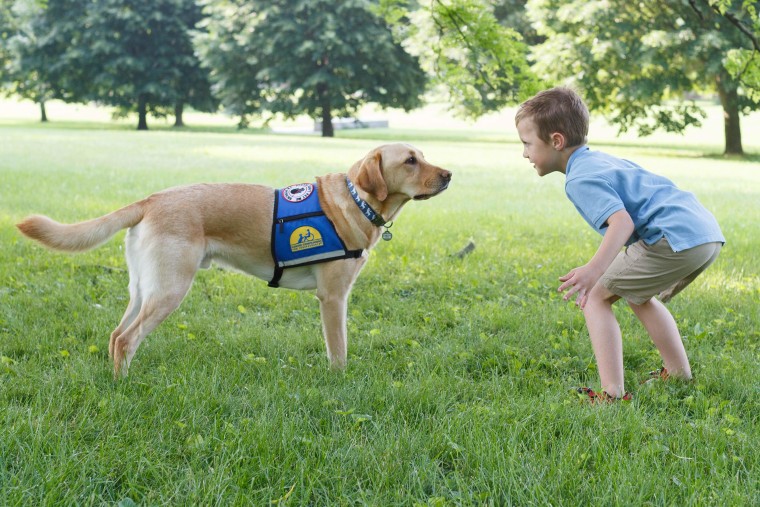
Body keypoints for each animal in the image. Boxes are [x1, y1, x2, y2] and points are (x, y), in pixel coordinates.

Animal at [16, 143, 452, 378]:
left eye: (422, 156)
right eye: (410, 160)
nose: (449, 174)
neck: (357, 201)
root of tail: (151, 199)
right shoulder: (332, 298)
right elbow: (338, 350)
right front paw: (340, 381)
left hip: (145, 289)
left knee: (115, 335)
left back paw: (115, 378)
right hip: (170, 289)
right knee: (127, 338)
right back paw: (125, 385)